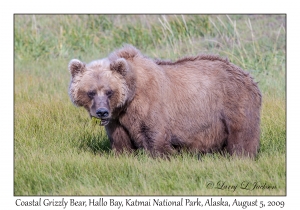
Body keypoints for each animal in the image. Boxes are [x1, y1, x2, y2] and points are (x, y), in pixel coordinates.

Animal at [69, 45, 262, 158]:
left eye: (109, 91)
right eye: (91, 92)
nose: (102, 112)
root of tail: (248, 75)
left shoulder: (150, 104)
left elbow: (155, 135)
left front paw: (162, 155)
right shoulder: (118, 118)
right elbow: (120, 139)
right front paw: (122, 154)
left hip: (234, 103)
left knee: (242, 134)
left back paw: (241, 156)